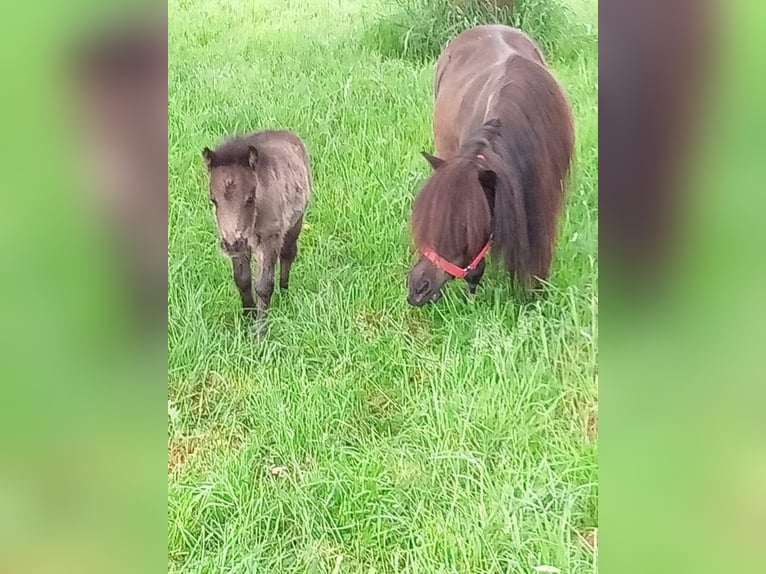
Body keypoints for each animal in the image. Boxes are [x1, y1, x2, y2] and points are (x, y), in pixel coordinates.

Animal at [204, 131, 316, 336]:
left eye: (250, 198)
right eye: (213, 199)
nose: (231, 244)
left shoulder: (269, 239)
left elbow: (264, 286)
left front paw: (260, 333)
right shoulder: (242, 246)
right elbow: (243, 280)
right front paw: (248, 317)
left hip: (296, 221)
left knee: (288, 254)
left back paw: (285, 293)